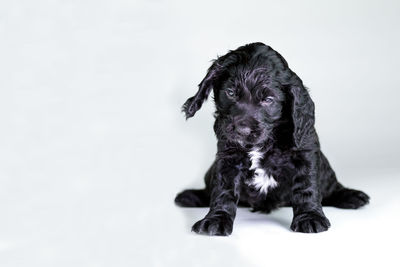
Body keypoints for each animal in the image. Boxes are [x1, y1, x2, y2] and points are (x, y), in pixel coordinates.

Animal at [175, 42, 368, 237]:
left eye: (268, 100)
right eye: (230, 93)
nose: (241, 130)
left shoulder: (306, 150)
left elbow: (307, 186)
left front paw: (309, 217)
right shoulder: (227, 157)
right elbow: (223, 189)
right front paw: (216, 219)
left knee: (331, 187)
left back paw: (352, 196)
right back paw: (190, 196)